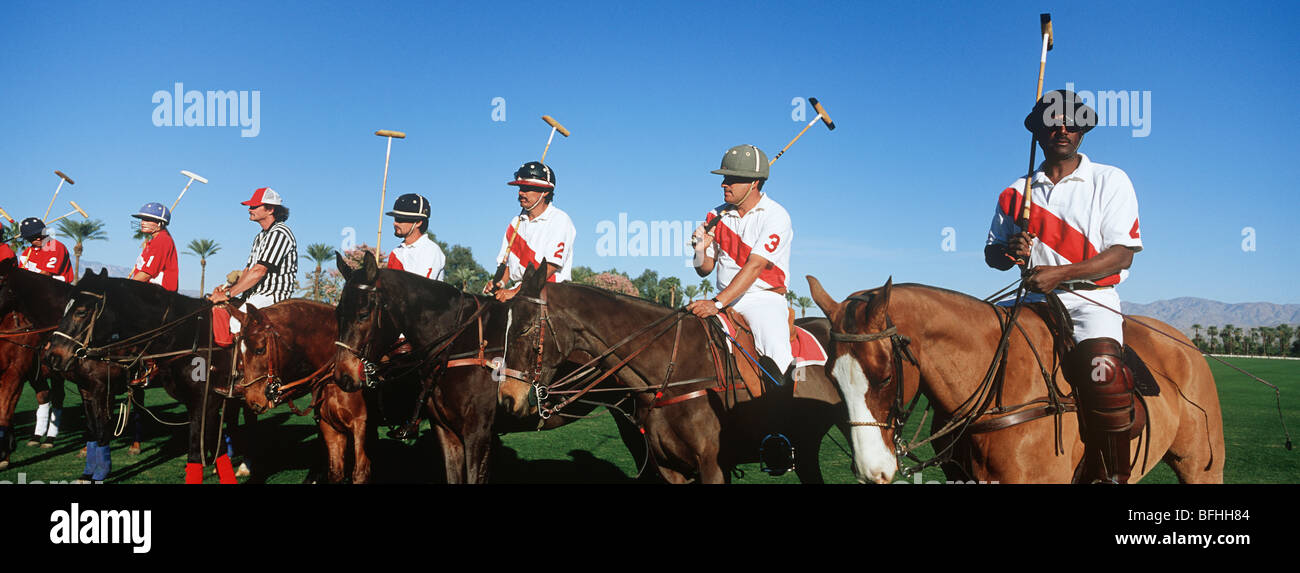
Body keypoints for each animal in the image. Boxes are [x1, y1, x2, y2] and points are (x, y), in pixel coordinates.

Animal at [45, 268, 244, 483]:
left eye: (81, 312)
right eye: (65, 309)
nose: (52, 355)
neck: (188, 335)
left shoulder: (102, 389)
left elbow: (102, 431)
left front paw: (100, 472)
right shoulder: (86, 391)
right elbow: (92, 429)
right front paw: (88, 472)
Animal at [226, 298, 371, 483]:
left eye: (260, 349)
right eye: (240, 354)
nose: (253, 402)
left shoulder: (361, 426)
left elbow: (360, 472)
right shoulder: (331, 427)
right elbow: (335, 471)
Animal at [499, 263, 852, 483]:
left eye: (525, 327)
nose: (507, 398)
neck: (671, 374)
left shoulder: (713, 467)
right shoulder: (671, 468)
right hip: (807, 446)